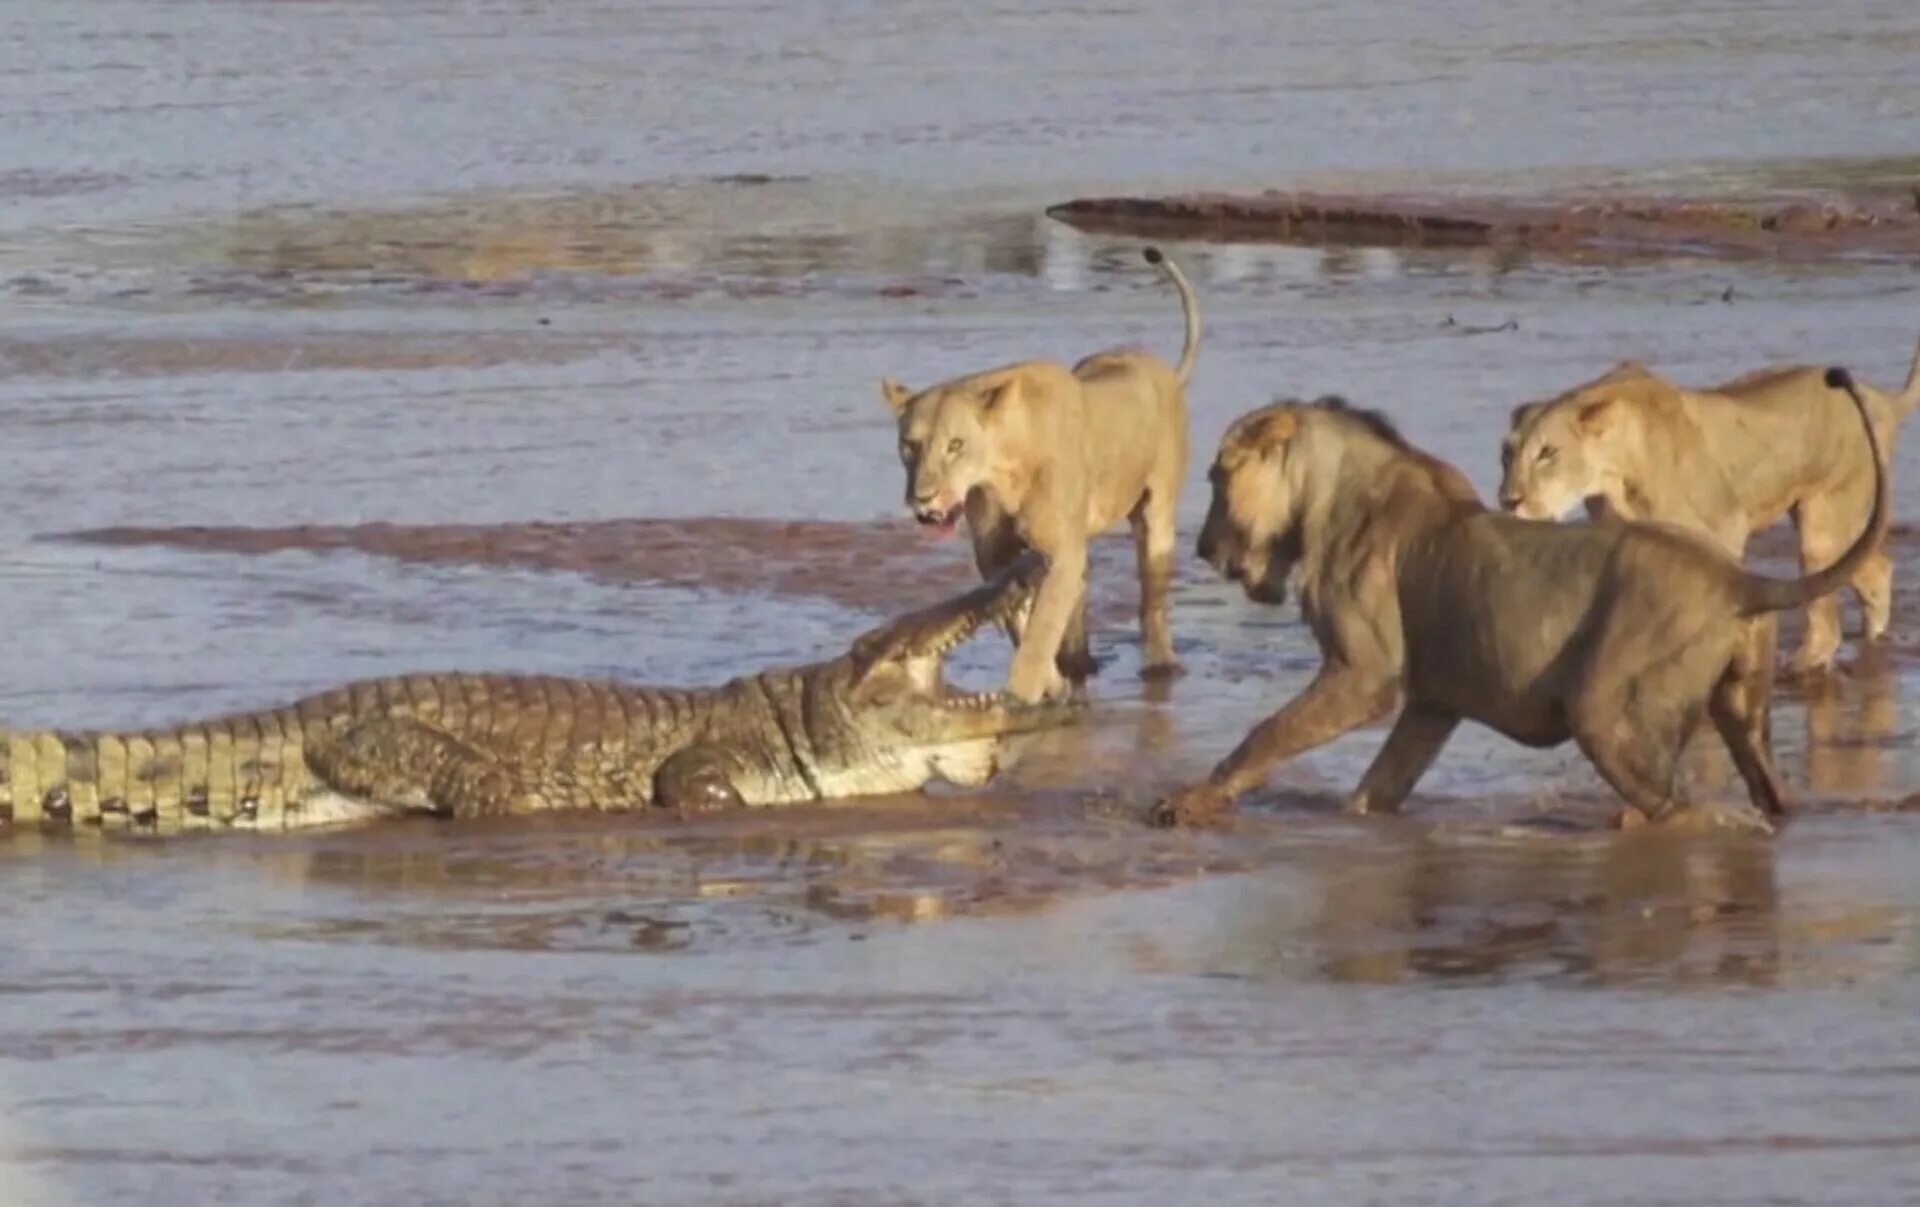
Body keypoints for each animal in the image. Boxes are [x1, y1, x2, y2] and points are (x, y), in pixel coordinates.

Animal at [1152, 366, 1889, 832]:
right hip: (1741, 712)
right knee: (1768, 796)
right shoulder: (1432, 702)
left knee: (1682, 810)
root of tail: (1739, 580)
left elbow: (1266, 733)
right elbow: (1375, 789)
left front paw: (1189, 801)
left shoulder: (1365, 674)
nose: (1203, 549)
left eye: (1217, 476)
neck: (1324, 500)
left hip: (1605, 708)